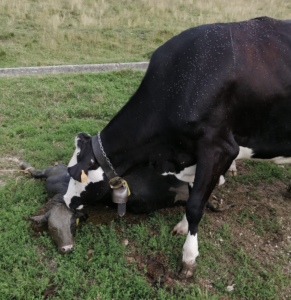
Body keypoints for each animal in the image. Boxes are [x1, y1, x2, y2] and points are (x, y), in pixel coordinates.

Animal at [63, 17, 291, 278]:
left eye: (74, 174)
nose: (65, 200)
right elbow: (193, 194)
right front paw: (182, 226)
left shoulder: (218, 149)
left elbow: (195, 205)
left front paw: (188, 257)